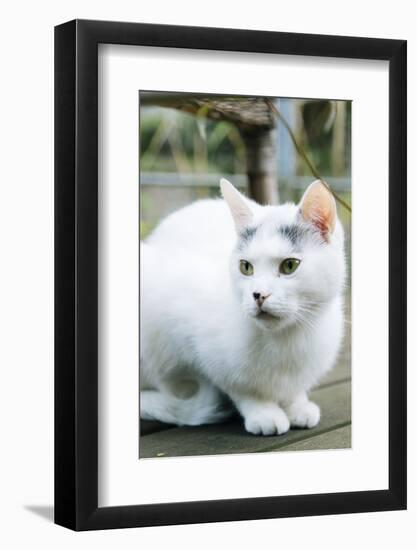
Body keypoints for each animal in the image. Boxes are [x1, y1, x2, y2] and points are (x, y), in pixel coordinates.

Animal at [140, 180, 344, 436]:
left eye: (290, 265)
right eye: (245, 267)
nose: (259, 295)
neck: (285, 338)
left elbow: (293, 388)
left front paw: (297, 405)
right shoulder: (196, 344)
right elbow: (239, 387)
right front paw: (263, 411)